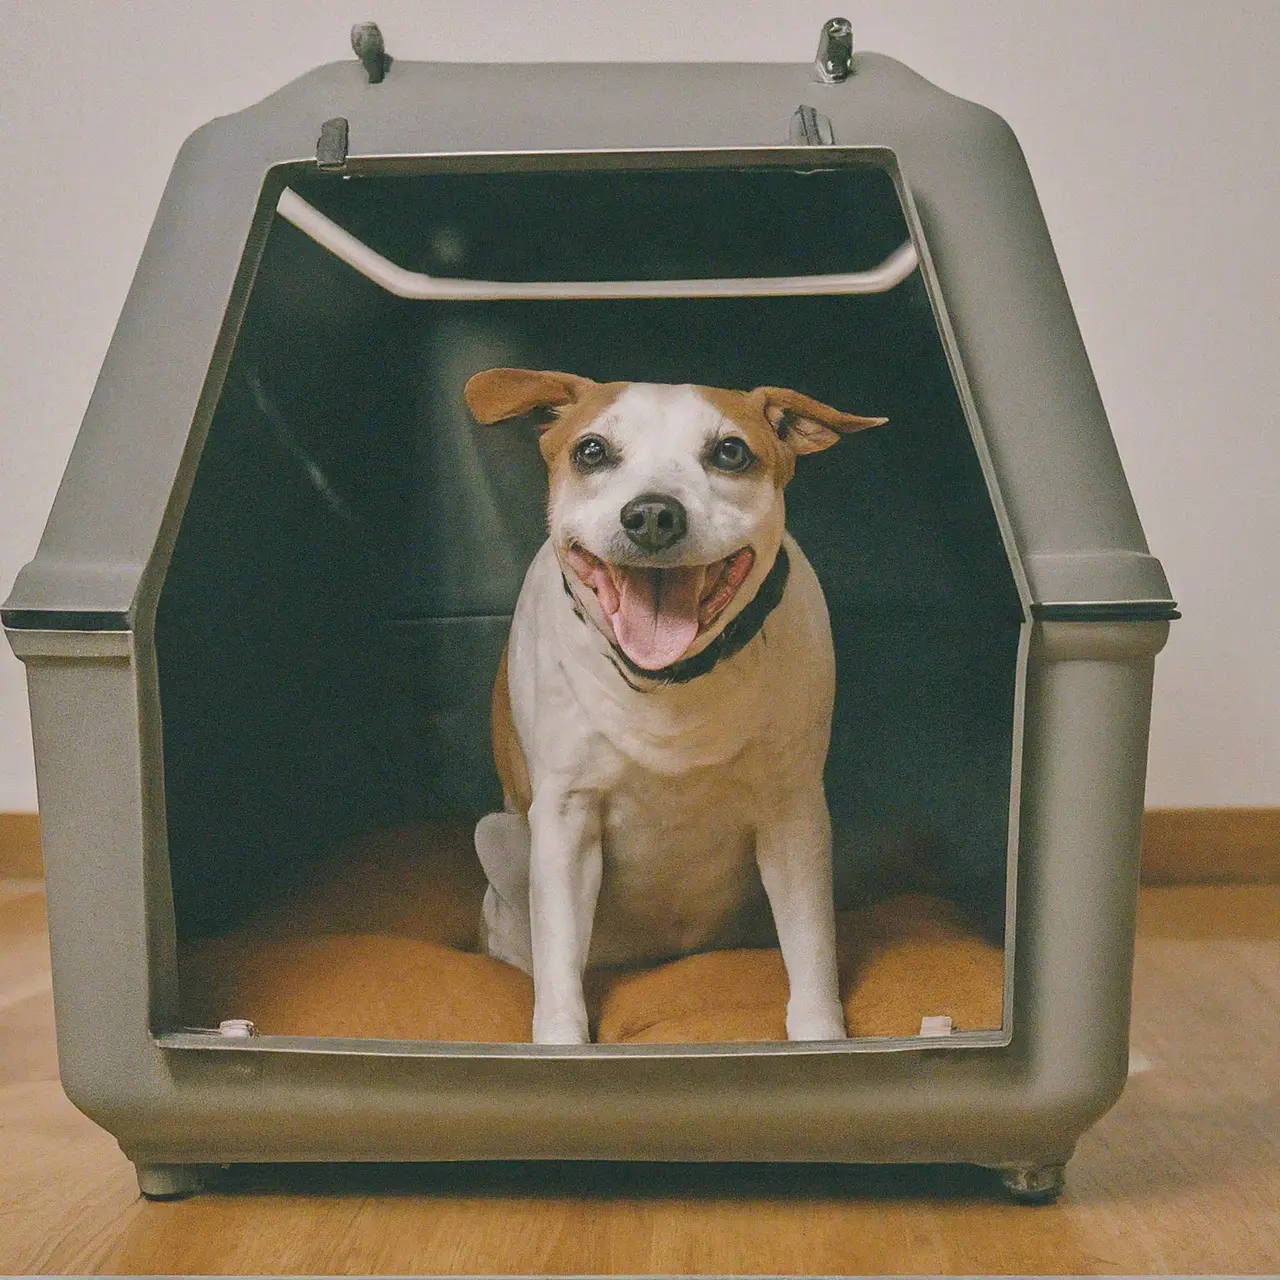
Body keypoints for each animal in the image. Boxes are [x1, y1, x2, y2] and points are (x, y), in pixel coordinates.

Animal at [465, 366, 885, 1044]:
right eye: (591, 450)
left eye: (730, 452)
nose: (653, 515)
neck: (669, 685)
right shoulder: (565, 823)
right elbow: (558, 969)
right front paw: (559, 1043)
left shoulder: (793, 815)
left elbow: (811, 945)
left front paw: (821, 1034)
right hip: (499, 837)